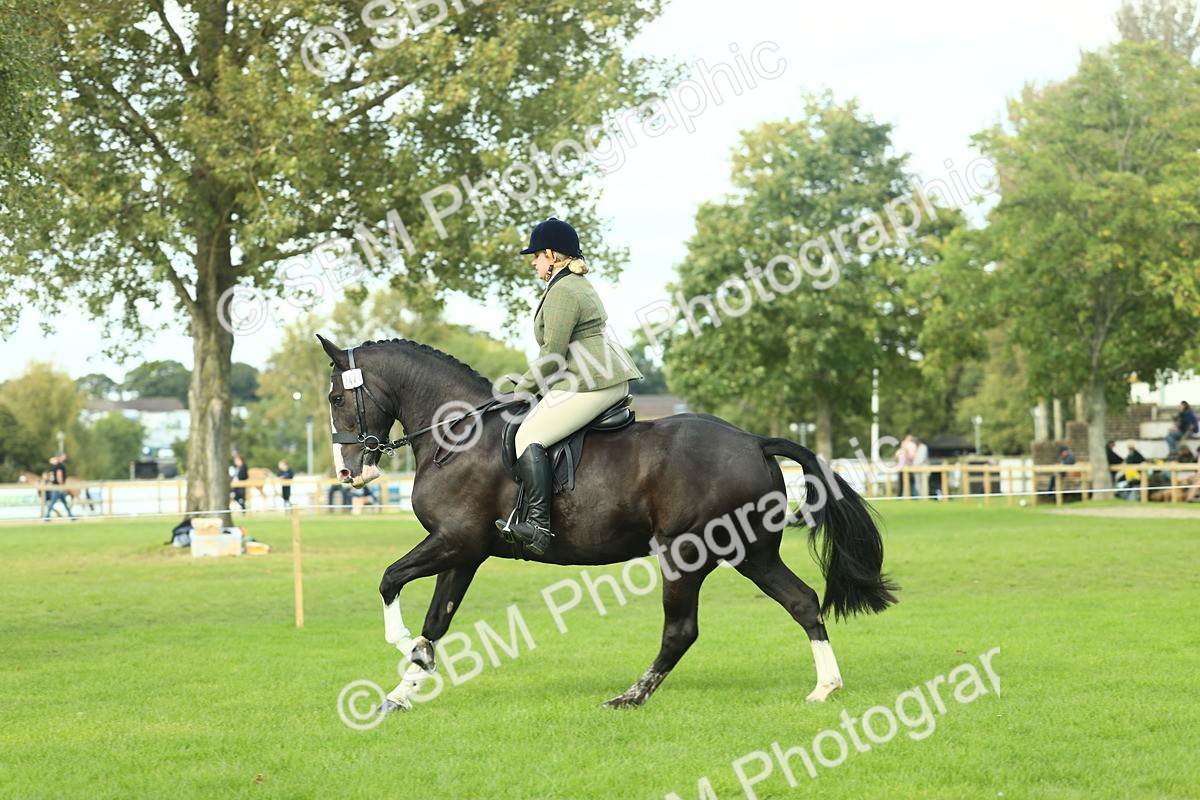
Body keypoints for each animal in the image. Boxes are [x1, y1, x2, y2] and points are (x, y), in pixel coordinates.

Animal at [318, 335, 898, 711]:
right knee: (802, 601)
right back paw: (825, 688)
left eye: (336, 396)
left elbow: (390, 580)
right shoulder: (464, 552)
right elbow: (436, 620)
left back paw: (630, 697)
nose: (349, 472)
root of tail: (754, 441)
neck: (457, 435)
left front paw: (402, 647)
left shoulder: (454, 541)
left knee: (681, 630)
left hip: (687, 554)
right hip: (752, 553)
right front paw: (403, 690)